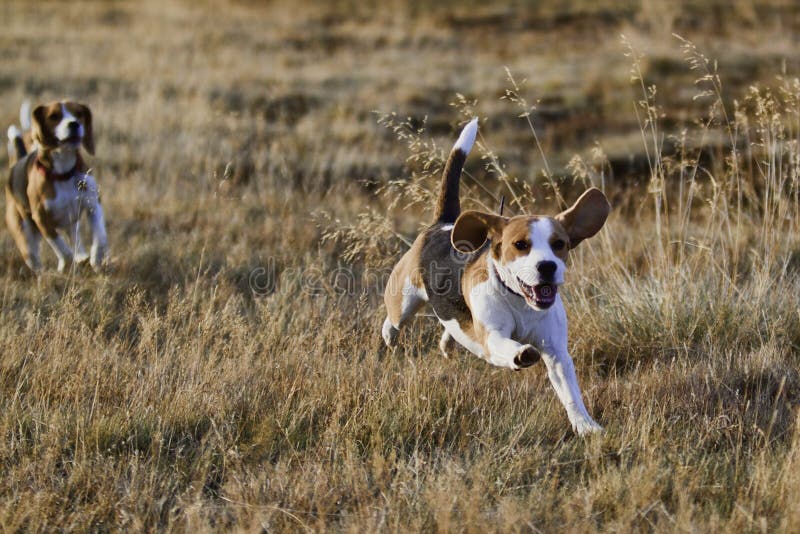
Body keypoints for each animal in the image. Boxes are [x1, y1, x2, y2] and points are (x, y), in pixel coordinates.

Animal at [5, 102, 108, 274]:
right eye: (54, 116)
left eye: (79, 113)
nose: (74, 124)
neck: (63, 173)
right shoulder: (41, 219)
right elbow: (61, 248)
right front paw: (65, 265)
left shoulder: (93, 203)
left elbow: (100, 235)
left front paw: (97, 258)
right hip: (24, 235)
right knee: (34, 258)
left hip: (72, 222)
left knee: (75, 239)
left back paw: (82, 256)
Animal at [384, 120, 608, 436]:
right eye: (520, 244)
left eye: (559, 244)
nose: (547, 266)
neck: (520, 302)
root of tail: (443, 224)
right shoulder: (493, 338)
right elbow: (508, 346)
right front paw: (521, 354)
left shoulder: (557, 354)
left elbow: (571, 394)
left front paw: (586, 426)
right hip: (403, 299)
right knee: (393, 321)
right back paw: (390, 335)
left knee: (451, 328)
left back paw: (448, 342)